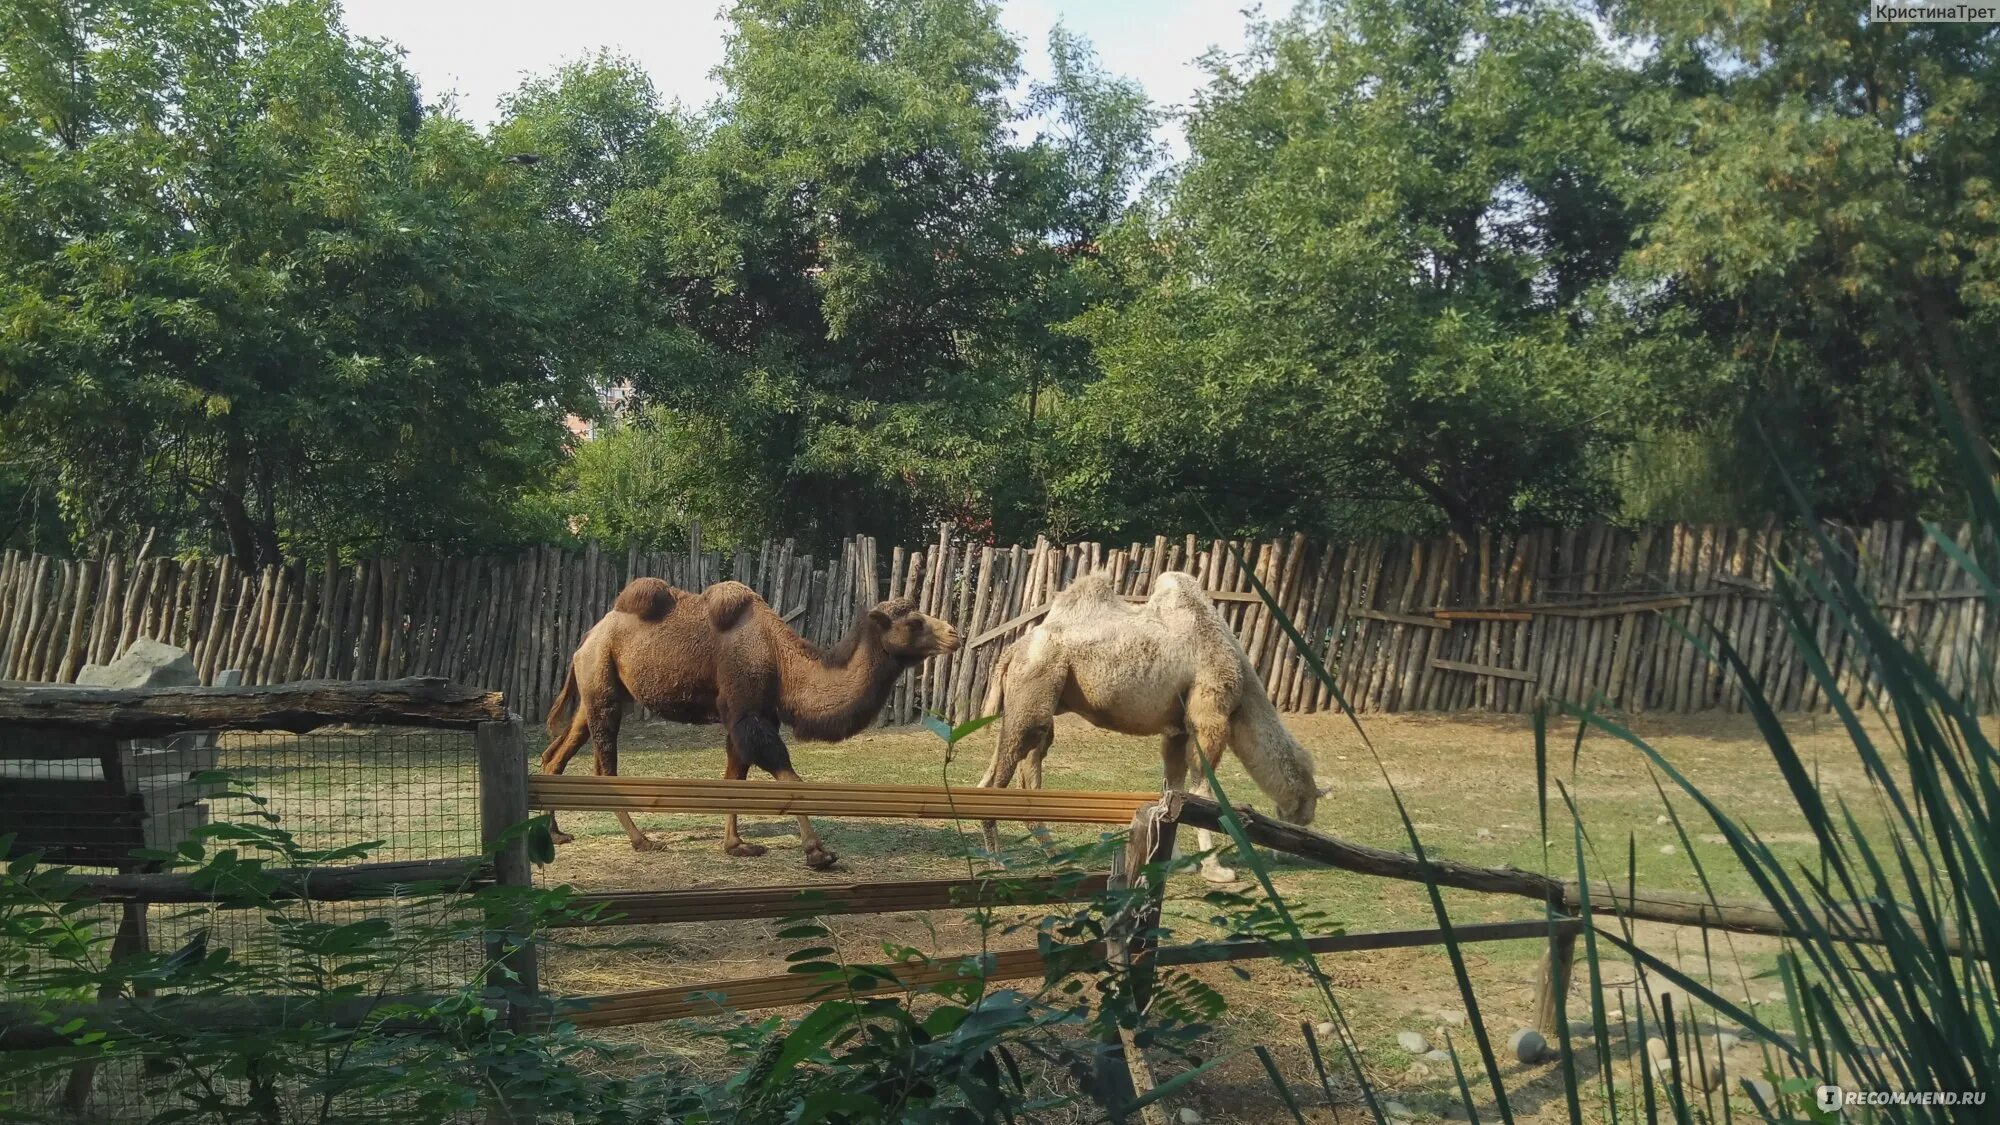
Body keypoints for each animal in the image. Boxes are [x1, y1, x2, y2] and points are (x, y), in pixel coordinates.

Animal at [540, 576, 960, 868]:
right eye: (914, 622)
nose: (954, 633)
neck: (781, 660)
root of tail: (587, 636)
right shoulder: (747, 713)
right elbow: (789, 778)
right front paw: (817, 852)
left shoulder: (749, 714)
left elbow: (734, 778)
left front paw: (736, 845)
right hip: (603, 685)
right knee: (604, 765)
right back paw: (641, 840)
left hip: (597, 687)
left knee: (555, 755)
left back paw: (555, 833)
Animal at [972, 568, 1328, 876]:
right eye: (1305, 804)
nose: (1294, 850)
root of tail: (1011, 651)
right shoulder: (1210, 716)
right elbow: (1203, 789)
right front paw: (1216, 870)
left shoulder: (1177, 730)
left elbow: (1174, 789)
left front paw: (1175, 860)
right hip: (1035, 689)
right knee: (1003, 773)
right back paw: (999, 860)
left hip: (1037, 704)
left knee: (1020, 763)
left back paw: (1055, 855)